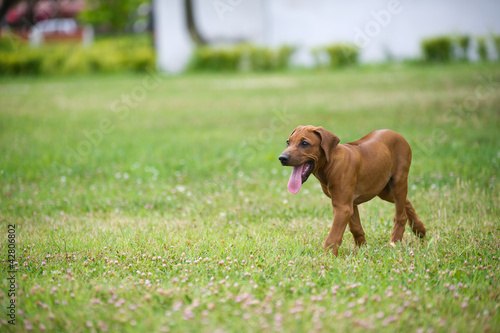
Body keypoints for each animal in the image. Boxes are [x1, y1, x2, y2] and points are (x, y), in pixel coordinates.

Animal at [278, 124, 426, 254]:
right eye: (288, 142)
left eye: (304, 143)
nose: (282, 158)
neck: (331, 163)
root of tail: (396, 133)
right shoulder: (349, 203)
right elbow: (356, 228)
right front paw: (362, 249)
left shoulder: (342, 207)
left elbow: (333, 236)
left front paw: (326, 257)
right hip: (382, 188)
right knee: (406, 201)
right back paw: (420, 229)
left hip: (398, 180)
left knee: (401, 215)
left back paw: (394, 242)